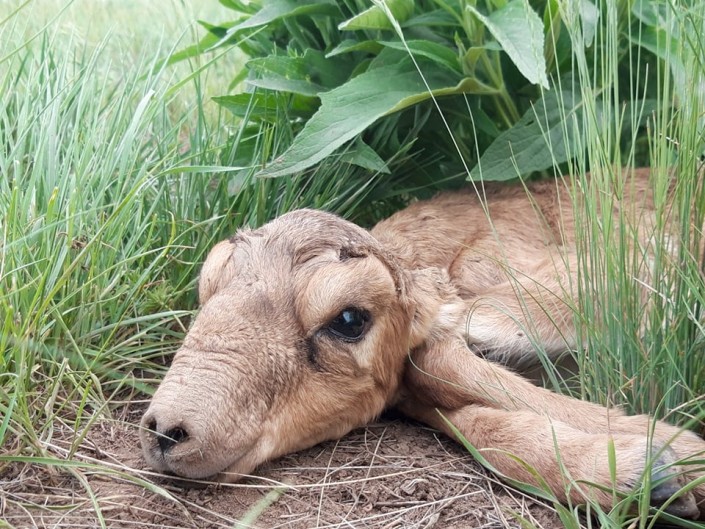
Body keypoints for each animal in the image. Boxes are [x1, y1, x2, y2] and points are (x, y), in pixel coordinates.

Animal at [140, 168, 705, 519]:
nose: (169, 428)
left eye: (349, 319)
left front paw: (675, 456)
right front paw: (644, 469)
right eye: (207, 286)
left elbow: (445, 356)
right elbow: (465, 411)